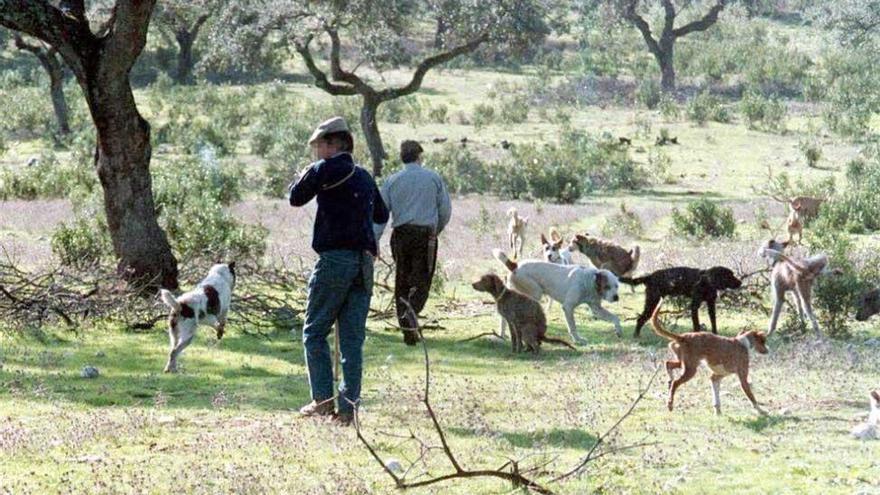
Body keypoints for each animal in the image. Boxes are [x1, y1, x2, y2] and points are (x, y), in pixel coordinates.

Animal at [492, 248, 624, 344]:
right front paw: (578, 340)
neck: (589, 281)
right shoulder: (568, 307)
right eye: (607, 286)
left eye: (616, 286)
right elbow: (572, 326)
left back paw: (502, 334)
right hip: (535, 293)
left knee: (504, 317)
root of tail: (515, 265)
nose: (616, 297)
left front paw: (619, 331)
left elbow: (615, 318)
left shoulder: (596, 309)